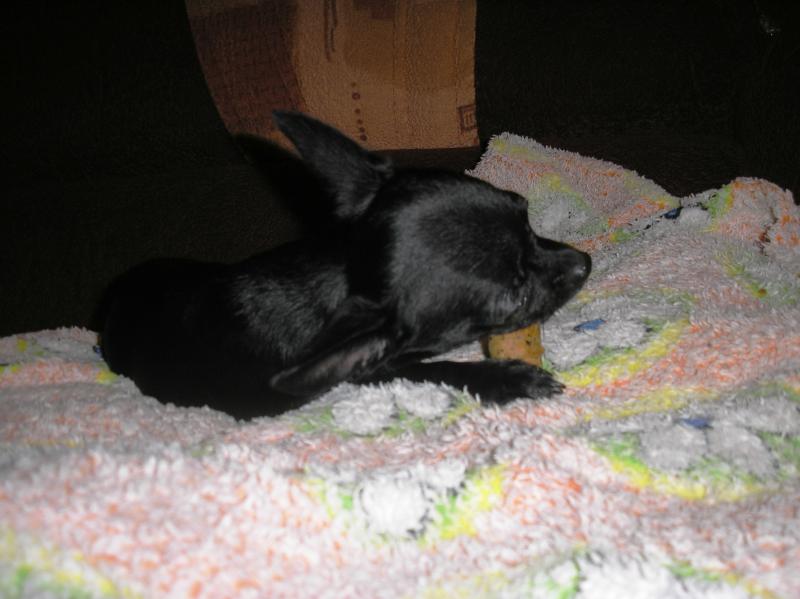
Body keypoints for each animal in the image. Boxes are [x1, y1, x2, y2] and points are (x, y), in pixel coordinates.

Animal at [100, 112, 591, 419]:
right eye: (514, 298)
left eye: (524, 213)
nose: (584, 263)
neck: (341, 274)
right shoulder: (370, 365)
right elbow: (433, 368)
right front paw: (510, 379)